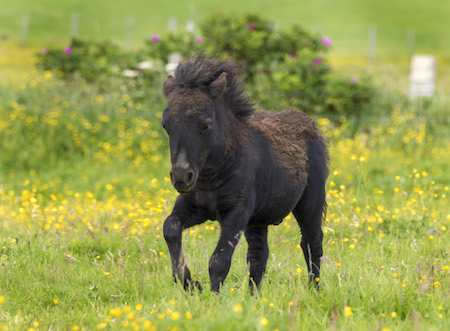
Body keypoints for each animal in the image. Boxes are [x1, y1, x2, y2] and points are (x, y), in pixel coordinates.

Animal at [163, 54, 330, 294]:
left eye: (205, 125)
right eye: (165, 125)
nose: (181, 176)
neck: (212, 176)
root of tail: (311, 126)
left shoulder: (236, 213)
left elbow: (218, 261)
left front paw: (213, 298)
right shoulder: (193, 207)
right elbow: (170, 229)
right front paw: (191, 284)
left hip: (310, 205)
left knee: (311, 243)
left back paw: (313, 292)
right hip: (258, 219)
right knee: (259, 255)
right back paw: (254, 298)